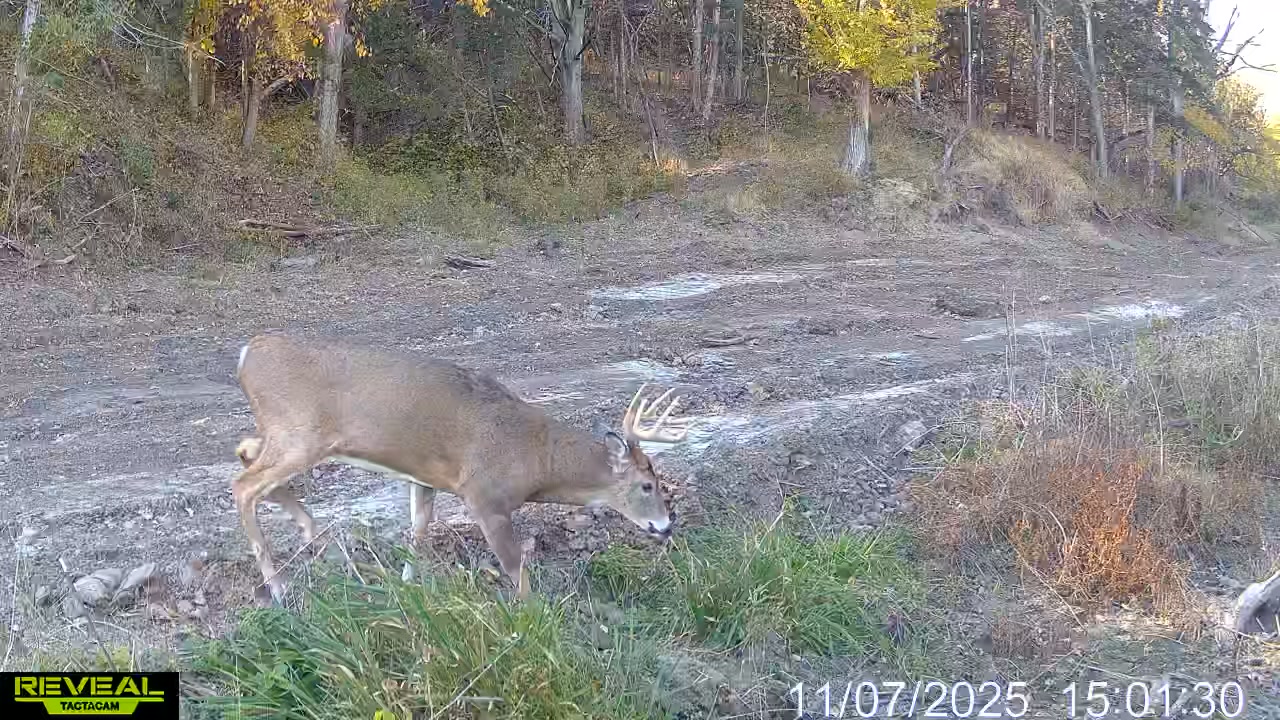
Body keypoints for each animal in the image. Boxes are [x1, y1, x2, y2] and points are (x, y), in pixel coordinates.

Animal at [229, 333, 691, 605]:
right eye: (647, 484)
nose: (666, 526)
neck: (536, 458)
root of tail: (246, 354)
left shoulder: (424, 478)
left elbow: (417, 536)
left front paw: (407, 590)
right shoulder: (484, 494)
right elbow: (515, 568)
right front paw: (535, 621)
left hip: (285, 434)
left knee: (246, 451)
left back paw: (314, 534)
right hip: (299, 432)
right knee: (244, 484)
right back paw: (279, 585)